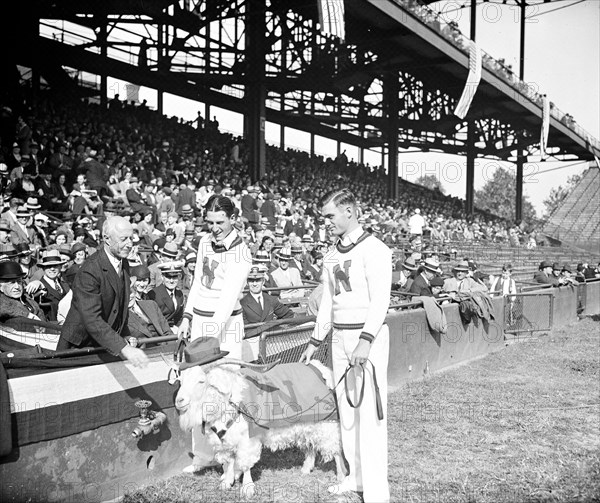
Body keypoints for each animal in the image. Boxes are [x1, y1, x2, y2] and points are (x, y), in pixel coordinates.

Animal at [169, 358, 346, 500]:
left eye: (201, 381)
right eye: (181, 380)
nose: (179, 401)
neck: (230, 401)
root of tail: (320, 368)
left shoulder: (247, 440)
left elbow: (245, 464)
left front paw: (247, 488)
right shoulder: (225, 440)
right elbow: (230, 461)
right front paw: (227, 481)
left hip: (326, 422)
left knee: (335, 448)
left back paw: (341, 477)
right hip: (305, 423)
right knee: (309, 445)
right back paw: (306, 469)